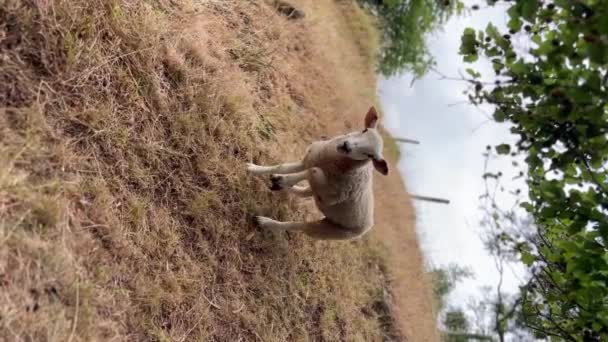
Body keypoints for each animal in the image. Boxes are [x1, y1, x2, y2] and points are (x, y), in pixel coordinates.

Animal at [245, 107, 388, 240]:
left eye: (370, 156)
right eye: (364, 130)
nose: (346, 146)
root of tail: (369, 225)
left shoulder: (328, 195)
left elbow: (312, 170)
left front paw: (285, 180)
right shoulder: (308, 161)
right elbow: (282, 167)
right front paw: (253, 169)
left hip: (330, 230)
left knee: (298, 225)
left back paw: (266, 221)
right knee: (305, 192)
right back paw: (280, 183)